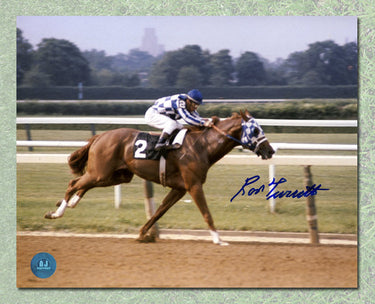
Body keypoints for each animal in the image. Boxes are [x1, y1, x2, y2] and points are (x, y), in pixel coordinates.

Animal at [45, 110, 274, 246]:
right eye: (255, 129)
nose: (270, 150)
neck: (202, 146)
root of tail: (100, 136)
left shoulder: (179, 188)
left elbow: (159, 212)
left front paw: (142, 233)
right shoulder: (193, 185)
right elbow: (206, 213)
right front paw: (219, 239)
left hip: (115, 175)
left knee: (83, 184)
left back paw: (71, 203)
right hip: (101, 172)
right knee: (73, 183)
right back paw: (56, 212)